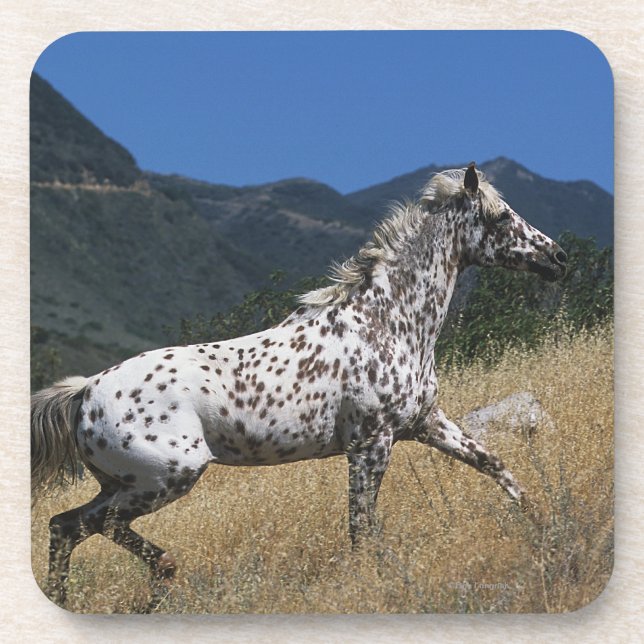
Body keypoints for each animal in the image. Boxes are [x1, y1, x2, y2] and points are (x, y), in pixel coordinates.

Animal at [32, 163, 567, 605]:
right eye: (500, 217)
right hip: (165, 478)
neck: (389, 321)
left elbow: (494, 464)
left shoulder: (425, 423)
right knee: (90, 525)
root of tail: (84, 392)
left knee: (65, 527)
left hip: (122, 483)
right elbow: (361, 527)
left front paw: (540, 519)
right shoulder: (372, 445)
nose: (558, 257)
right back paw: (163, 571)